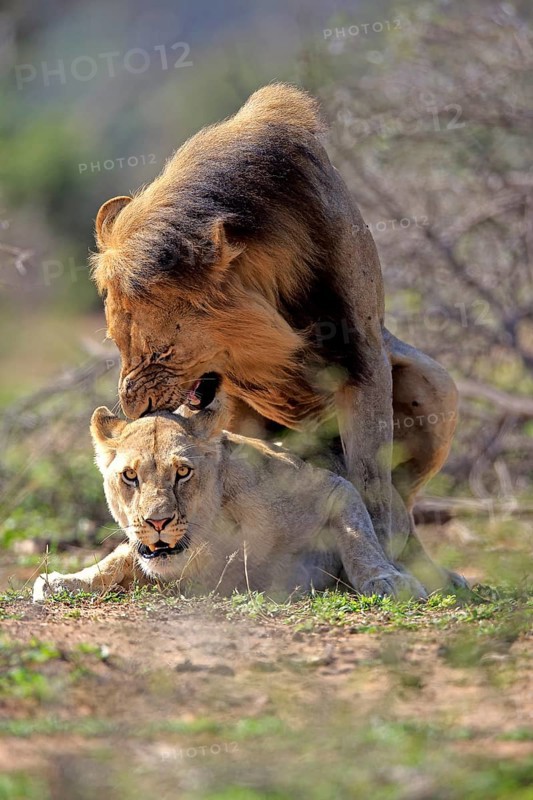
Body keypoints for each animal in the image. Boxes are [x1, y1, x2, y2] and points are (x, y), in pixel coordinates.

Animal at [33, 400, 429, 602]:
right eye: (130, 476)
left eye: (183, 472)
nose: (157, 522)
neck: (213, 540)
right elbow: (118, 559)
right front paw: (66, 581)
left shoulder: (331, 487)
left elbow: (359, 536)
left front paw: (387, 580)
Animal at [89, 83, 462, 589]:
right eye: (116, 342)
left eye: (163, 351)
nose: (137, 411)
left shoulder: (363, 355)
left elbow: (372, 483)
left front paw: (389, 566)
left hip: (437, 384)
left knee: (401, 499)